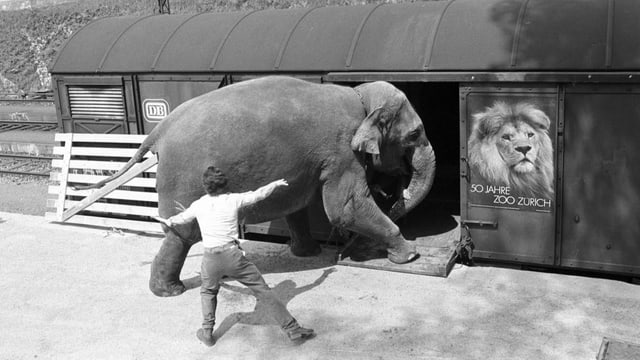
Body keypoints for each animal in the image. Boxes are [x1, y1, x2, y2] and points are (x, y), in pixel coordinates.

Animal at [81, 75, 436, 296]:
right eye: (415, 134)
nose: (393, 191)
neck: (361, 96)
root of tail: (158, 131)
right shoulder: (341, 150)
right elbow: (344, 208)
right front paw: (409, 255)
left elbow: (296, 200)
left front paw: (309, 254)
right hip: (182, 178)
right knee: (182, 235)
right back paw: (170, 291)